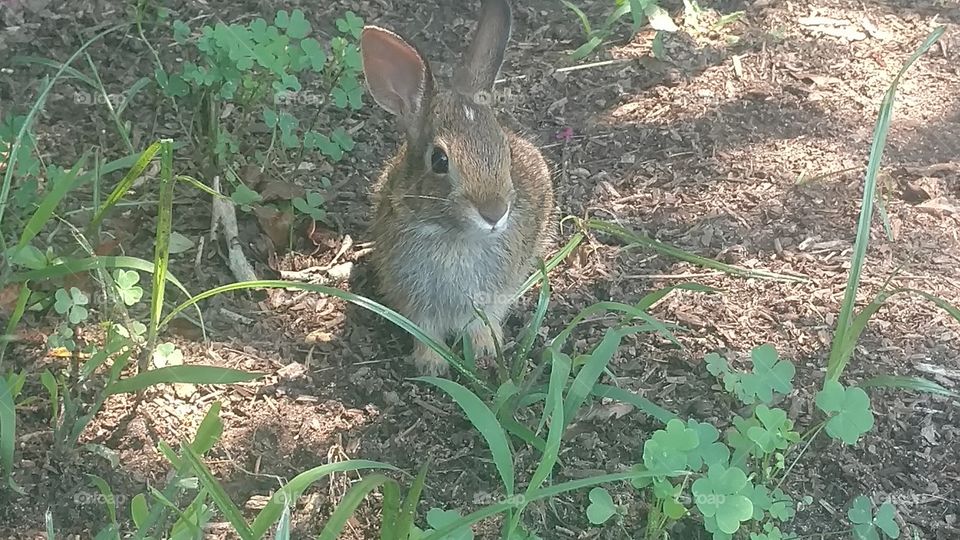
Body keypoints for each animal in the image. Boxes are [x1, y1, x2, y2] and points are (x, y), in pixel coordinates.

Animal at [358, 0, 556, 376]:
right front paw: (431, 365)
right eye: (439, 160)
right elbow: (426, 330)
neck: (454, 236)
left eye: (505, 150)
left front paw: (484, 351)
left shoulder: (496, 293)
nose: (494, 213)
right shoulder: (415, 300)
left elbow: (483, 322)